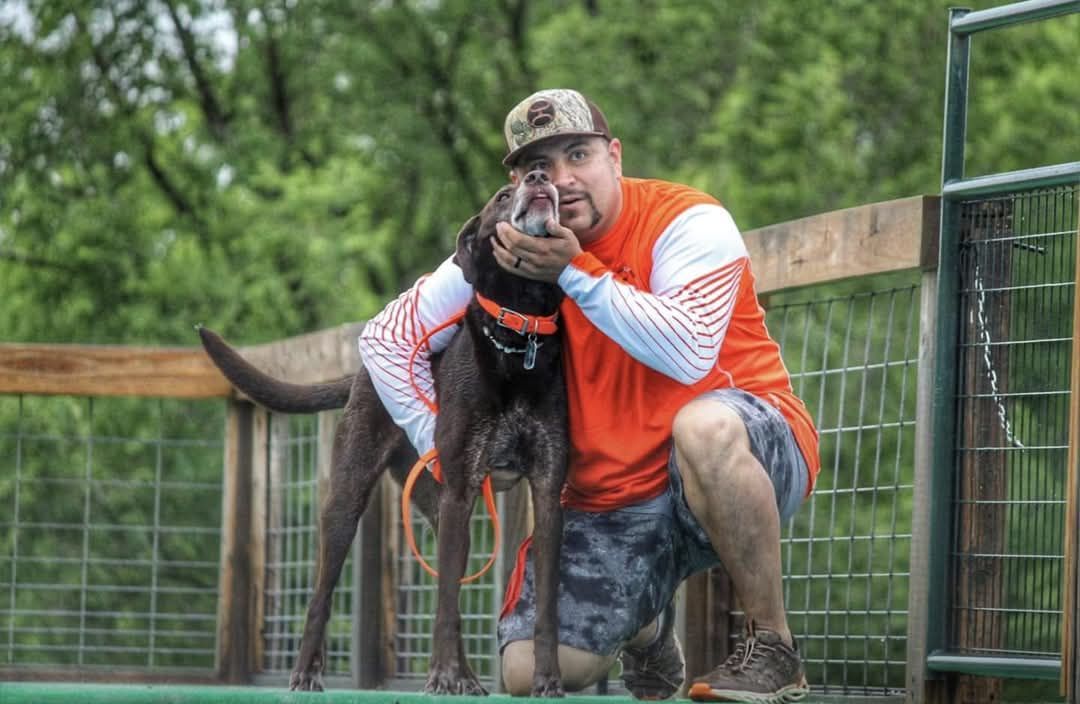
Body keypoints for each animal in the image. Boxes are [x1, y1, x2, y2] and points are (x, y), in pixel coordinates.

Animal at [203, 172, 574, 695]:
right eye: (504, 195)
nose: (540, 177)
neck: (520, 331)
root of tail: (360, 375)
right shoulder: (462, 488)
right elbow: (446, 607)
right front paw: (441, 674)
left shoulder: (545, 491)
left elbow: (542, 611)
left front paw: (546, 680)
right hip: (350, 497)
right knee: (325, 594)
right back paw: (306, 672)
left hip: (440, 510)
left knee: (445, 592)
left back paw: (466, 677)